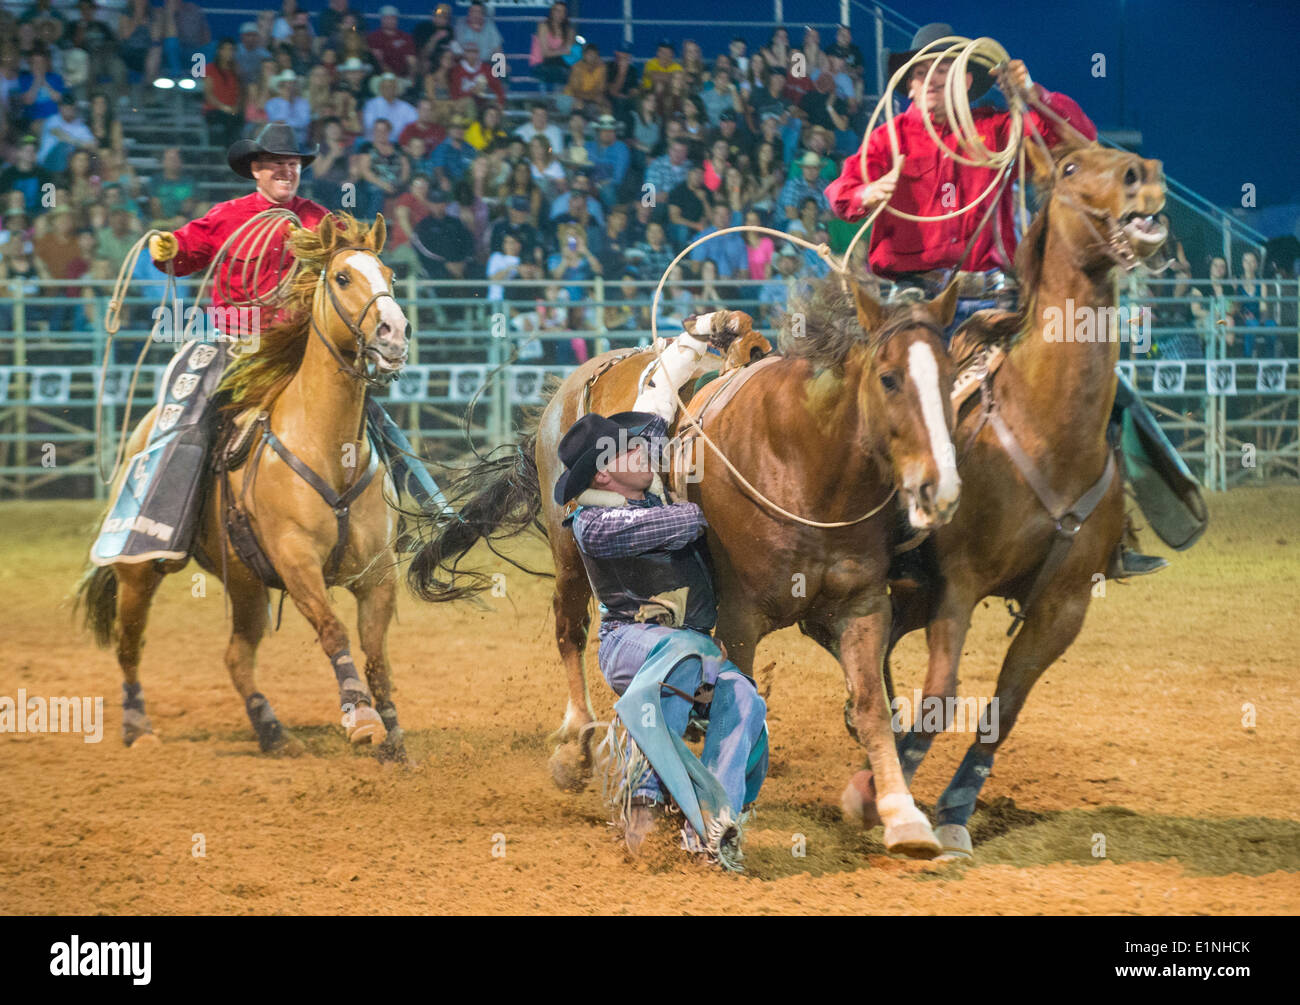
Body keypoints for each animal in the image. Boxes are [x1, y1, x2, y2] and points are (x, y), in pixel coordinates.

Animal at [77, 214, 412, 760]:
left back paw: (273, 733)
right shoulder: (297, 561)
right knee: (130, 646)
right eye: (342, 277)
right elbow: (333, 630)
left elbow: (377, 653)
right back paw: (138, 728)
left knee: (235, 656)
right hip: (139, 571)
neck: (327, 449)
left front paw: (394, 736)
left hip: (248, 584)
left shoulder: (377, 574)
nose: (394, 332)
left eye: (389, 274)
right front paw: (361, 718)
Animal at [408, 280, 963, 856]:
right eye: (889, 378)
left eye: (950, 376)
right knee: (569, 631)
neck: (798, 458)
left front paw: (902, 815)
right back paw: (575, 747)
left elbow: (872, 704)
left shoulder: (861, 606)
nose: (939, 487)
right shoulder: (741, 618)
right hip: (568, 559)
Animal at [841, 139, 1172, 858]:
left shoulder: (1064, 606)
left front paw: (956, 808)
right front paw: (875, 792)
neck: (1047, 433)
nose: (1145, 178)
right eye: (1070, 169)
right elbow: (942, 691)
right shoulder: (958, 583)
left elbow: (1006, 705)